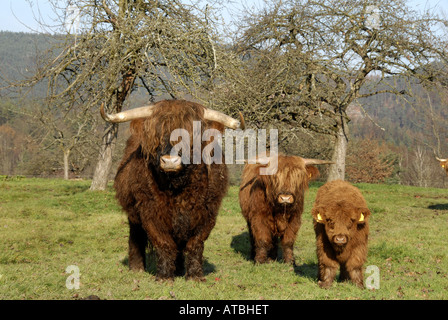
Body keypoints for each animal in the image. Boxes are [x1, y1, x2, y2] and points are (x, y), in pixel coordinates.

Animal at [101, 99, 243, 282]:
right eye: (157, 133)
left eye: (192, 134)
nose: (170, 161)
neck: (178, 188)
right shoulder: (150, 212)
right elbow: (164, 243)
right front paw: (164, 277)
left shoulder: (207, 212)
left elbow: (195, 244)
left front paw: (195, 276)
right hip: (133, 212)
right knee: (136, 236)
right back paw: (137, 268)